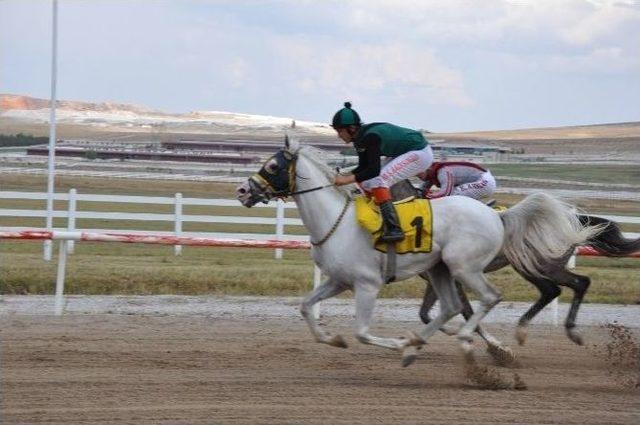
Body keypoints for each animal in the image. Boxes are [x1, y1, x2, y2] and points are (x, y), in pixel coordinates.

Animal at [236, 137, 600, 364]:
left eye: (272, 166)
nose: (243, 191)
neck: (337, 222)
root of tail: (499, 216)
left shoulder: (367, 285)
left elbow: (363, 333)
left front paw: (399, 342)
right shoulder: (339, 280)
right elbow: (305, 307)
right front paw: (334, 339)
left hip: (469, 266)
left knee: (498, 296)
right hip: (444, 269)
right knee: (456, 306)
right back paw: (421, 345)